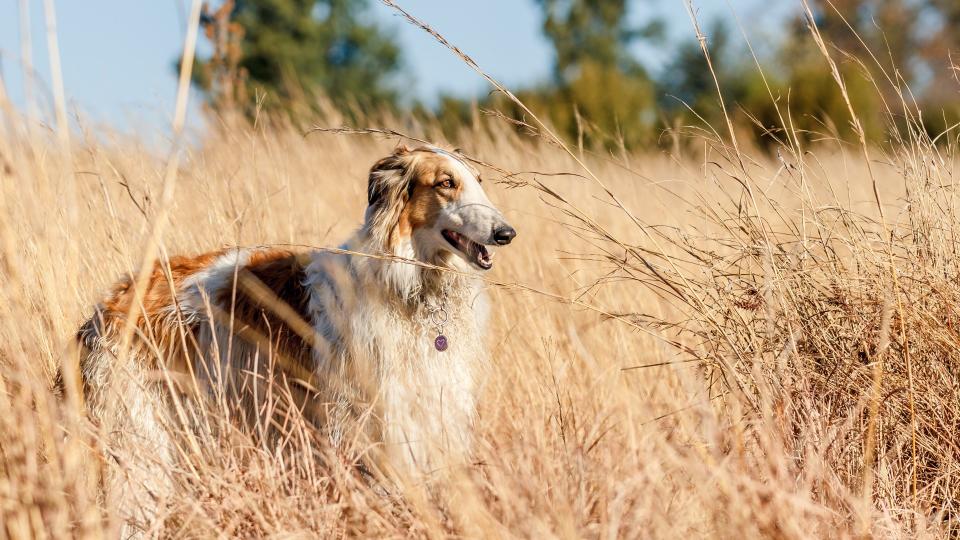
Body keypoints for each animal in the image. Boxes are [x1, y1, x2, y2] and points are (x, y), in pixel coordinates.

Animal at [65, 143, 516, 528]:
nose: (506, 233)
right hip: (139, 445)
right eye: (445, 183)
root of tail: (106, 306)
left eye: (478, 179)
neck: (407, 287)